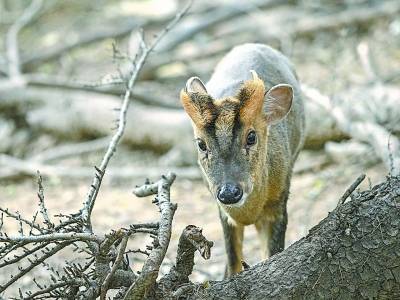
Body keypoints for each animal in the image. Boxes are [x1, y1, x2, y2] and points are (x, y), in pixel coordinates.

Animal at [180, 43, 304, 278]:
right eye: (201, 144)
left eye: (251, 136)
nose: (229, 193)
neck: (248, 214)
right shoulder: (222, 211)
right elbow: (232, 258)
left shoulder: (279, 201)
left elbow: (273, 253)